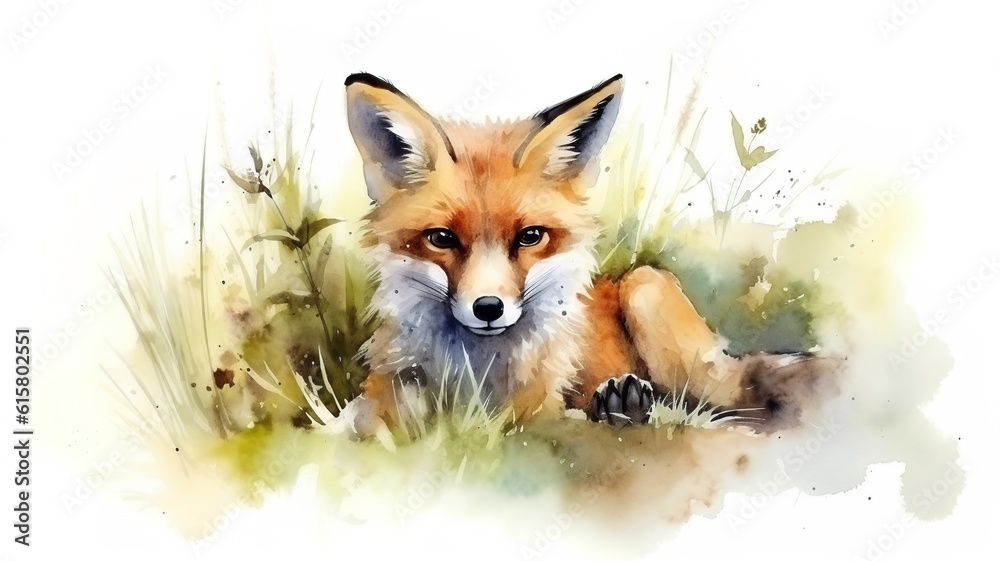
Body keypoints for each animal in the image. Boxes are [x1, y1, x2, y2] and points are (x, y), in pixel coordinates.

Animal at [340, 72, 840, 438]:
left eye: (530, 236)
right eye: (441, 238)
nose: (488, 308)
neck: (475, 378)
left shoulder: (537, 411)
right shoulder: (387, 394)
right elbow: (363, 421)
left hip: (650, 298)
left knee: (708, 403)